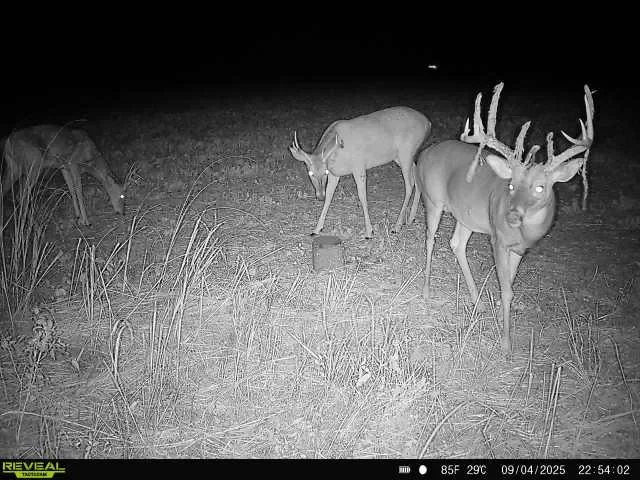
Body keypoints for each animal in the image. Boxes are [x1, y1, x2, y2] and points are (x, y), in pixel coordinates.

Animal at [289, 107, 431, 239]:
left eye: (325, 172)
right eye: (310, 173)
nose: (319, 196)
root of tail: (427, 123)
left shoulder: (359, 166)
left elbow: (362, 196)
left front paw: (369, 232)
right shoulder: (335, 174)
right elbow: (329, 196)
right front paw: (317, 229)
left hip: (406, 151)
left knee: (410, 184)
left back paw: (397, 226)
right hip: (401, 157)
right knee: (416, 175)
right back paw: (411, 218)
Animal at [408, 83, 595, 355]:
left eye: (540, 187)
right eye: (512, 185)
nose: (513, 215)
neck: (523, 232)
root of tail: (426, 152)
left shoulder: (521, 249)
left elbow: (510, 282)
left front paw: (497, 312)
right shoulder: (497, 239)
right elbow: (507, 290)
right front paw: (506, 343)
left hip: (466, 215)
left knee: (456, 243)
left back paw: (477, 302)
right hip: (433, 200)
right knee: (430, 240)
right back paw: (426, 291)